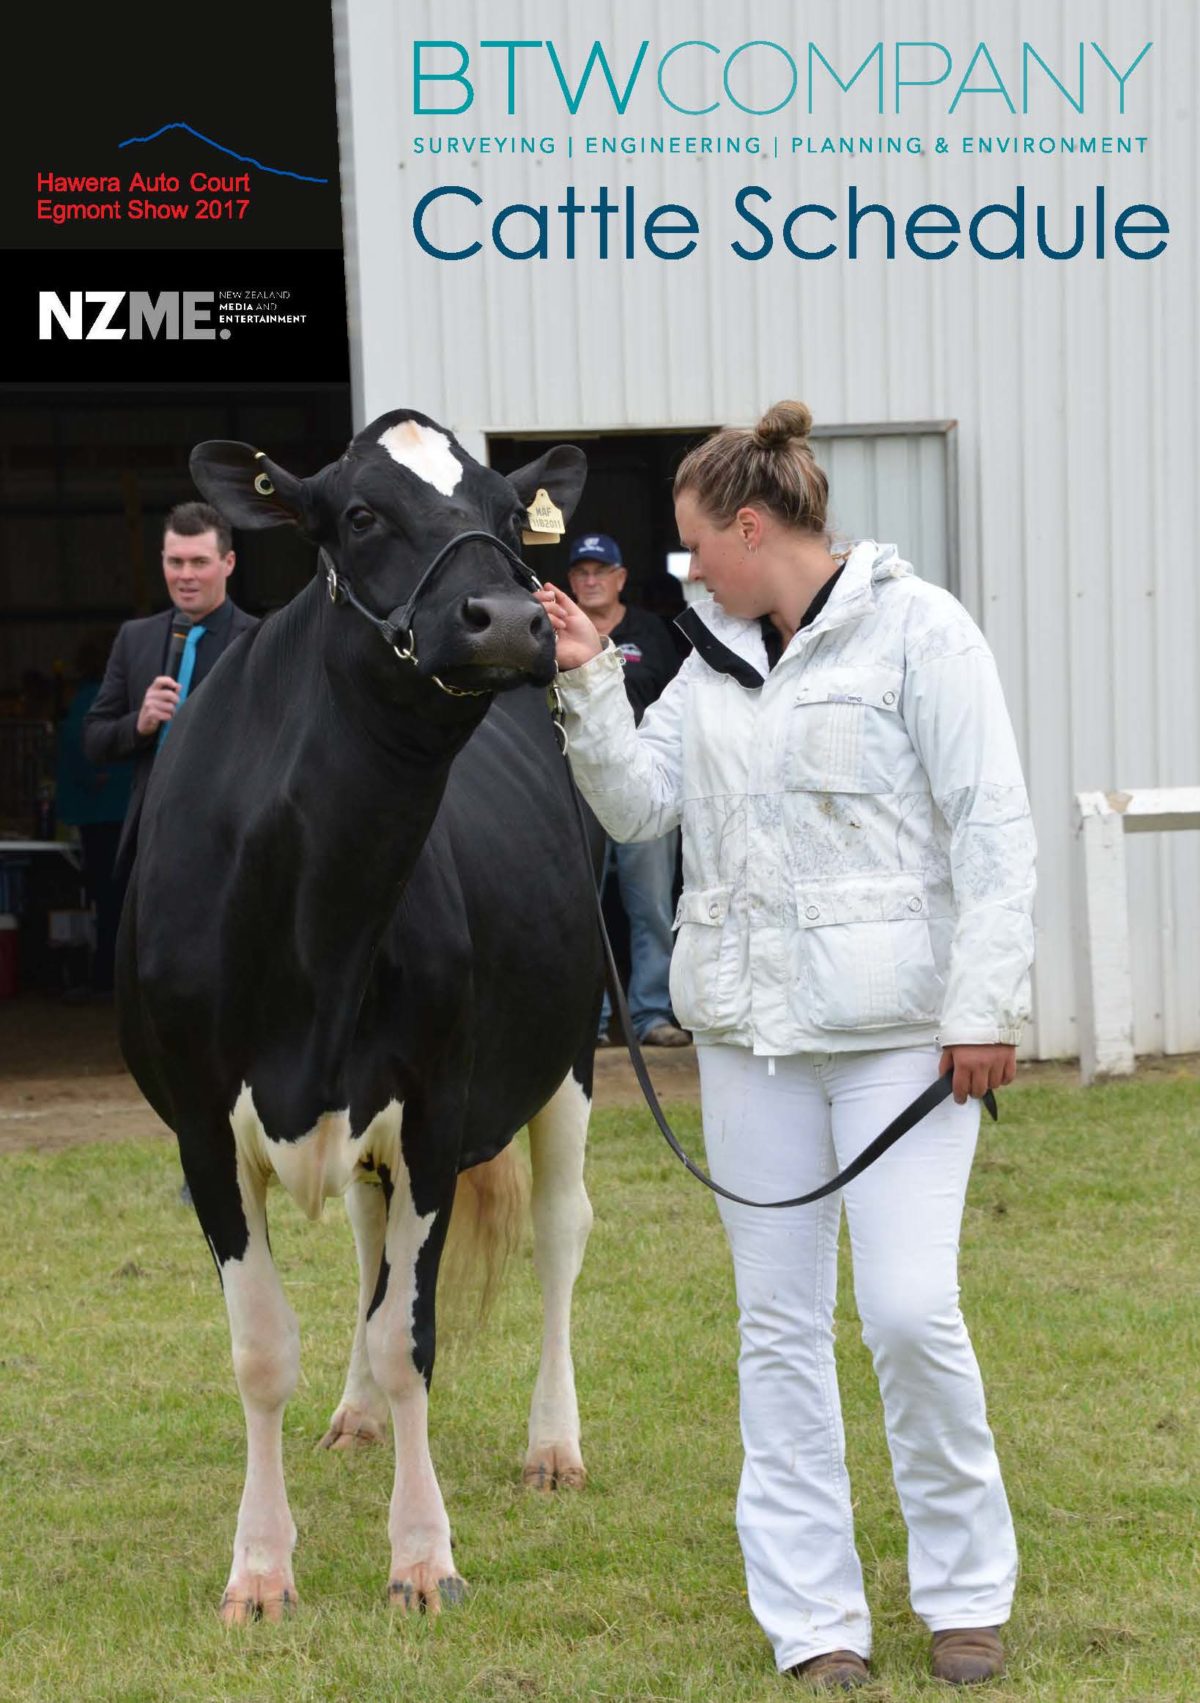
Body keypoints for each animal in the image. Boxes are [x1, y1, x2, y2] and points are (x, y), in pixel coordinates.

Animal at [118, 411, 603, 1621]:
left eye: (503, 509)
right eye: (362, 515)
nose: (512, 616)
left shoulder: (435, 1105)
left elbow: (406, 1336)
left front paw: (423, 1554)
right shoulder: (200, 1125)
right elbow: (262, 1348)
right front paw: (259, 1568)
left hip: (573, 1050)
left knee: (560, 1231)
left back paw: (553, 1443)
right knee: (368, 1239)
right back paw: (352, 1419)